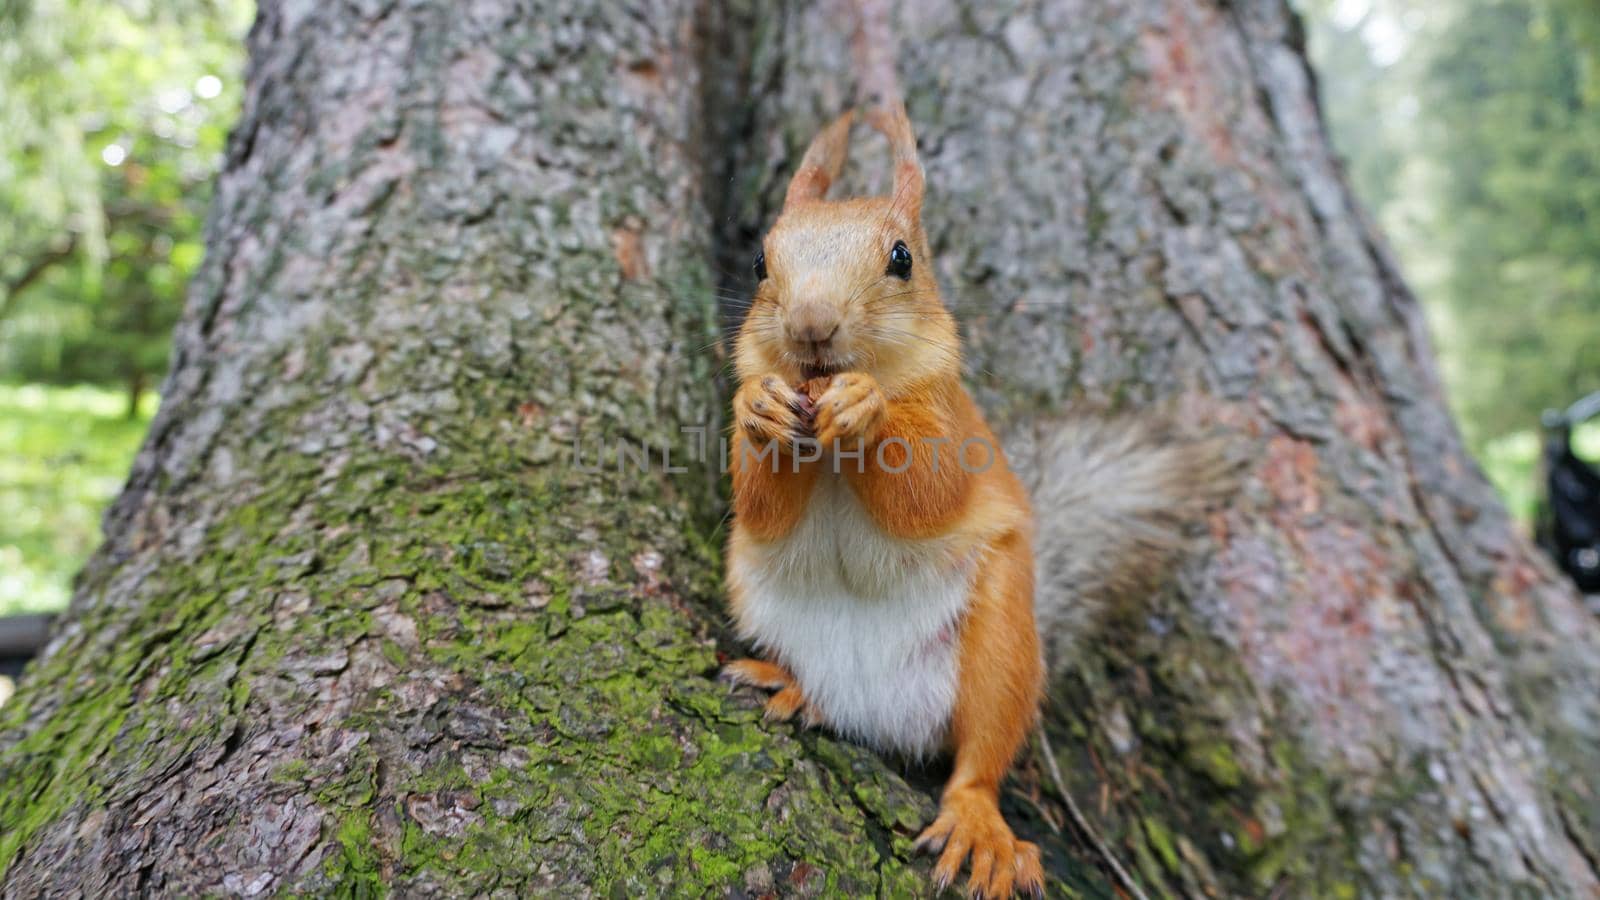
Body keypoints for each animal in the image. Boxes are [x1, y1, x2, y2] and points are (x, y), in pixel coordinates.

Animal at [726, 103, 1222, 890]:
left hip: (1001, 646)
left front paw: (867, 408)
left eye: (902, 258)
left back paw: (979, 826)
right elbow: (760, 507)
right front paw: (760, 407)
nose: (810, 326)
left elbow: (927, 491)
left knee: (980, 756)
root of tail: (875, 706)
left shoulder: (955, 425)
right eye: (758, 263)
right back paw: (795, 687)